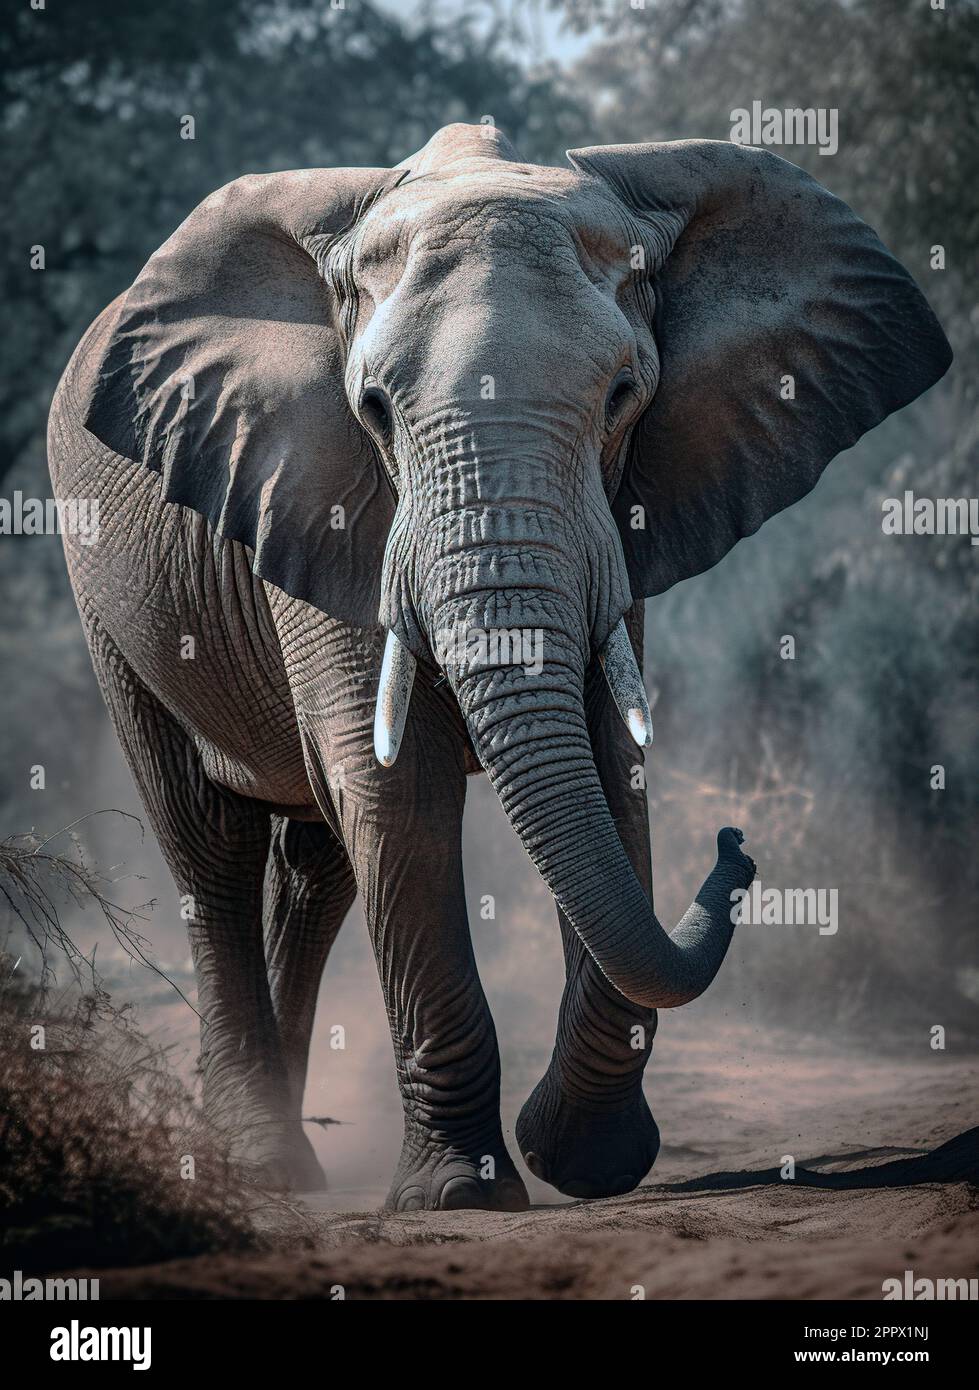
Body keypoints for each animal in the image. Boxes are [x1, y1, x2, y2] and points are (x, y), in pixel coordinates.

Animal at [48, 123, 950, 1209]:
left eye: (623, 398)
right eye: (373, 408)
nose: (736, 842)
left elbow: (605, 767)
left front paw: (583, 1162)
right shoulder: (322, 492)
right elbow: (398, 792)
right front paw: (461, 1193)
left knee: (315, 867)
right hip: (104, 592)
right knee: (208, 843)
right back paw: (263, 1168)